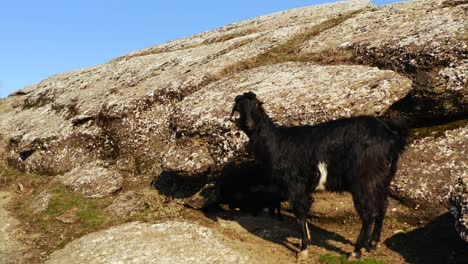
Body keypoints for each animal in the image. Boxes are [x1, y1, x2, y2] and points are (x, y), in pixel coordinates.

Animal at [230, 92, 406, 260]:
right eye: (239, 108)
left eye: (256, 105)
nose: (249, 124)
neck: (276, 142)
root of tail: (390, 137)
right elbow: (305, 210)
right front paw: (305, 240)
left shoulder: (295, 185)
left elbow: (300, 212)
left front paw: (303, 250)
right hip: (383, 179)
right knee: (383, 207)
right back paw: (373, 244)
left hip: (364, 181)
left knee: (369, 214)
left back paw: (356, 251)